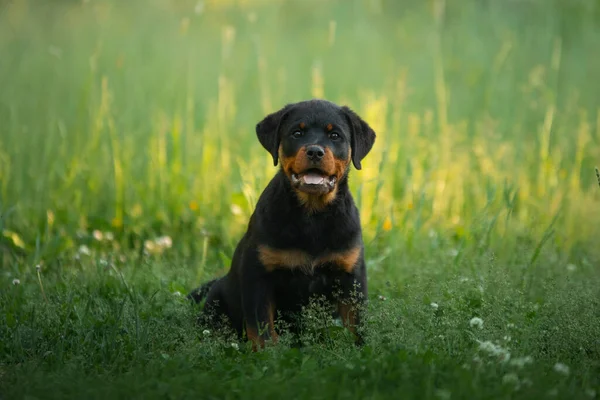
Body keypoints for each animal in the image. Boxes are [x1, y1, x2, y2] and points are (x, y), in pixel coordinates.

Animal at [189, 98, 376, 348]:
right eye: (297, 133)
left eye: (335, 135)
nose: (315, 151)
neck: (312, 215)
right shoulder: (258, 274)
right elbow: (261, 325)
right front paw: (269, 353)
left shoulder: (351, 276)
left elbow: (356, 323)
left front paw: (361, 349)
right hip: (217, 298)